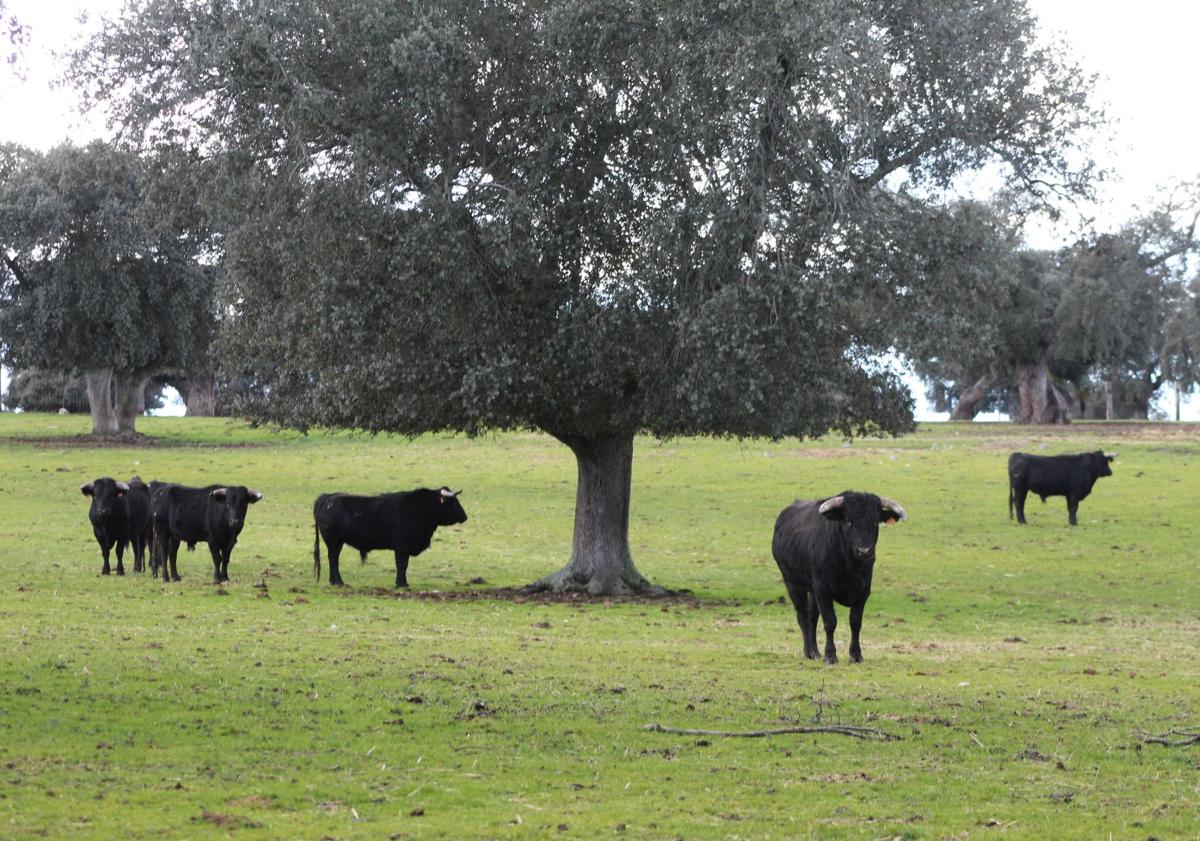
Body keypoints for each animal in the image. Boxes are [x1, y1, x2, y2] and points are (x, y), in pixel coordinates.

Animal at [314, 489, 468, 587]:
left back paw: (334, 581)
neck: (419, 508)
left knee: (333, 559)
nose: (465, 517)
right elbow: (401, 564)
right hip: (334, 541)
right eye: (453, 502)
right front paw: (401, 584)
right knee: (334, 559)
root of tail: (327, 497)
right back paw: (338, 582)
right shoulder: (401, 547)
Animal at [772, 491, 902, 662]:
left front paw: (856, 655)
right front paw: (830, 655)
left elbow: (855, 622)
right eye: (849, 521)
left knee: (812, 617)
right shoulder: (822, 589)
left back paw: (815, 651)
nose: (864, 551)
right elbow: (830, 622)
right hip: (792, 583)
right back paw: (809, 651)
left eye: (875, 522)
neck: (850, 566)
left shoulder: (864, 591)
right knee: (803, 616)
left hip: (812, 590)